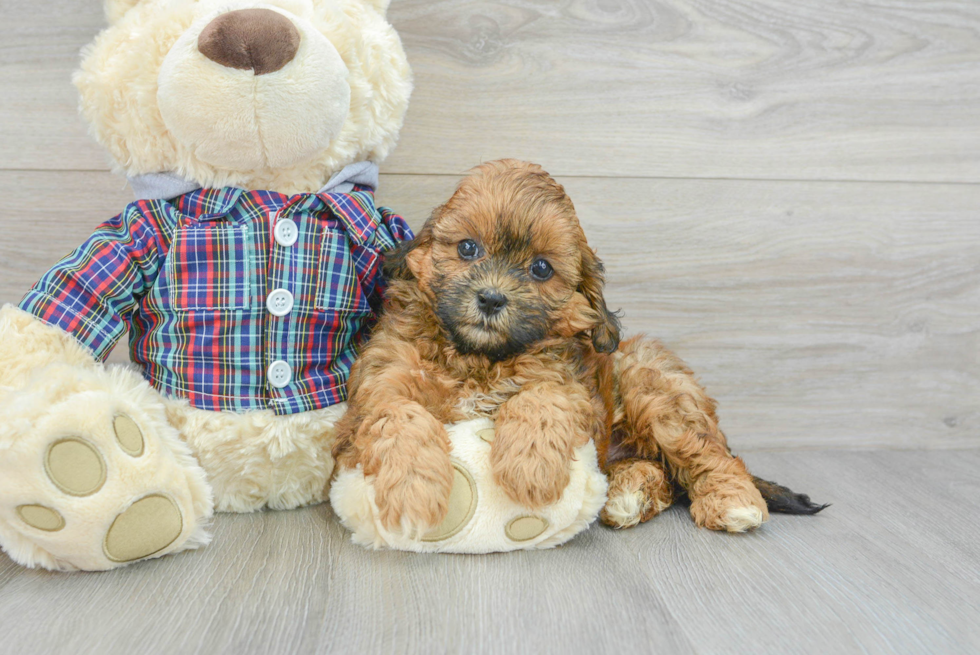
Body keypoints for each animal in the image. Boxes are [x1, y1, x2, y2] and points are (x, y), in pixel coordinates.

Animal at [334, 160, 824, 540]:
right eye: (468, 248)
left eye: (540, 269)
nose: (491, 299)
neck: (480, 357)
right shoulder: (380, 383)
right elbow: (398, 416)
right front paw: (411, 490)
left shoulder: (572, 386)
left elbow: (543, 399)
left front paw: (530, 468)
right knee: (661, 473)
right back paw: (629, 494)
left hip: (653, 387)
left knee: (709, 455)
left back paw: (731, 502)